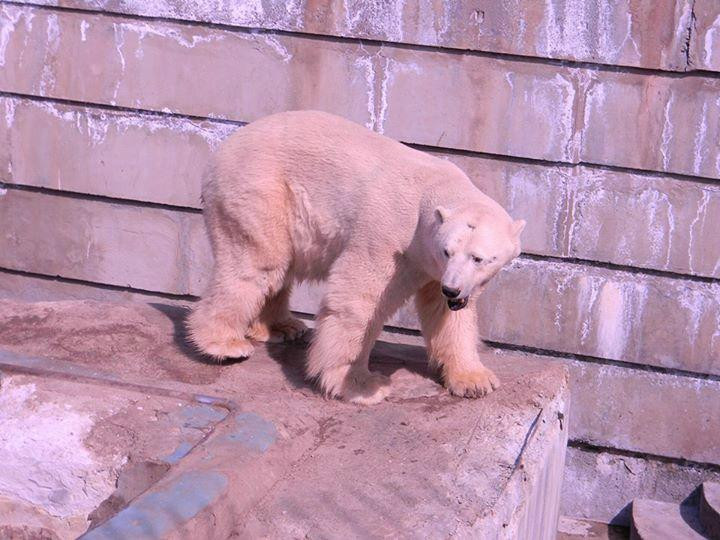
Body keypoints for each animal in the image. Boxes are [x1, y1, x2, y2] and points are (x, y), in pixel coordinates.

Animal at [186, 110, 524, 404]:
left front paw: (475, 380)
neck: (431, 192)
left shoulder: (436, 269)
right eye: (448, 251)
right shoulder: (389, 236)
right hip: (260, 189)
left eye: (479, 258)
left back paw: (281, 327)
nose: (452, 290)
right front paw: (361, 384)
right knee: (257, 263)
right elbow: (359, 299)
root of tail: (221, 150)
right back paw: (225, 344)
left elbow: (446, 315)